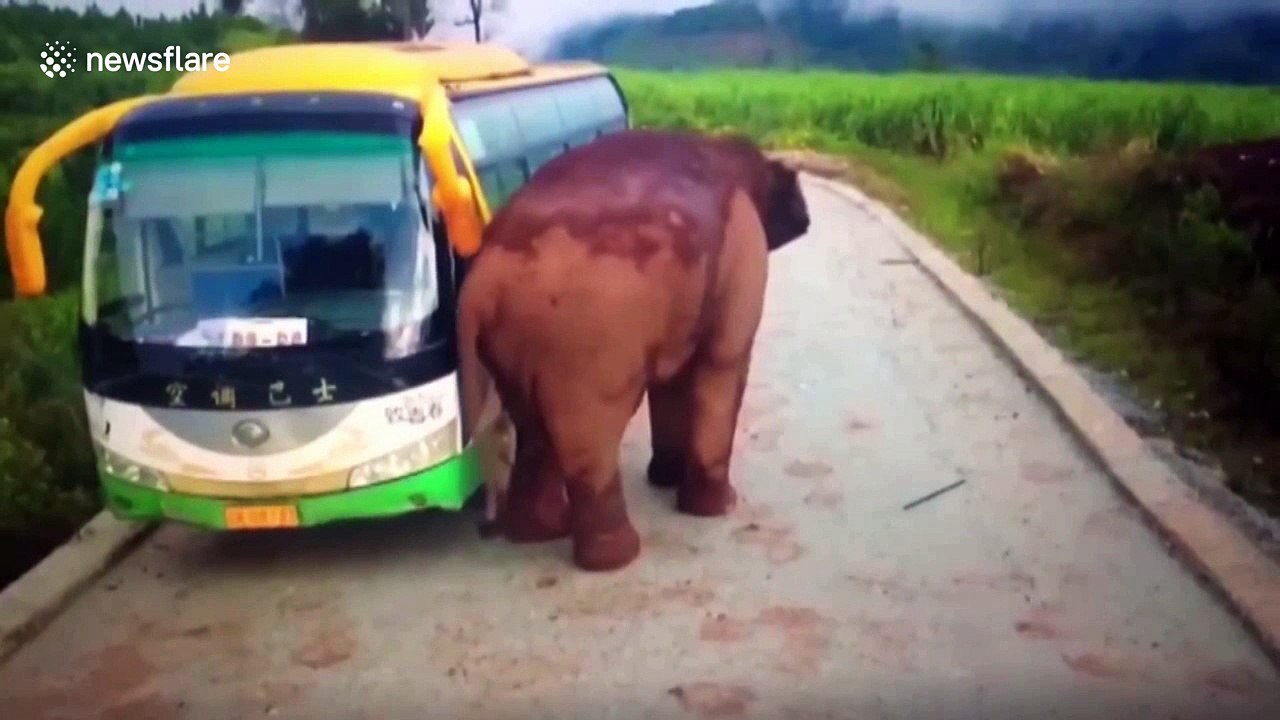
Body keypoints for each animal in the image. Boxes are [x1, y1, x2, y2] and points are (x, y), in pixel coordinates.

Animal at [458, 129, 811, 571]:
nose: (807, 219)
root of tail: (481, 285)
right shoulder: (743, 248)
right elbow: (723, 361)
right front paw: (719, 508)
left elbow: (674, 380)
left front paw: (665, 480)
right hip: (586, 339)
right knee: (591, 433)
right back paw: (615, 557)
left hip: (519, 341)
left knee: (533, 425)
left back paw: (539, 532)